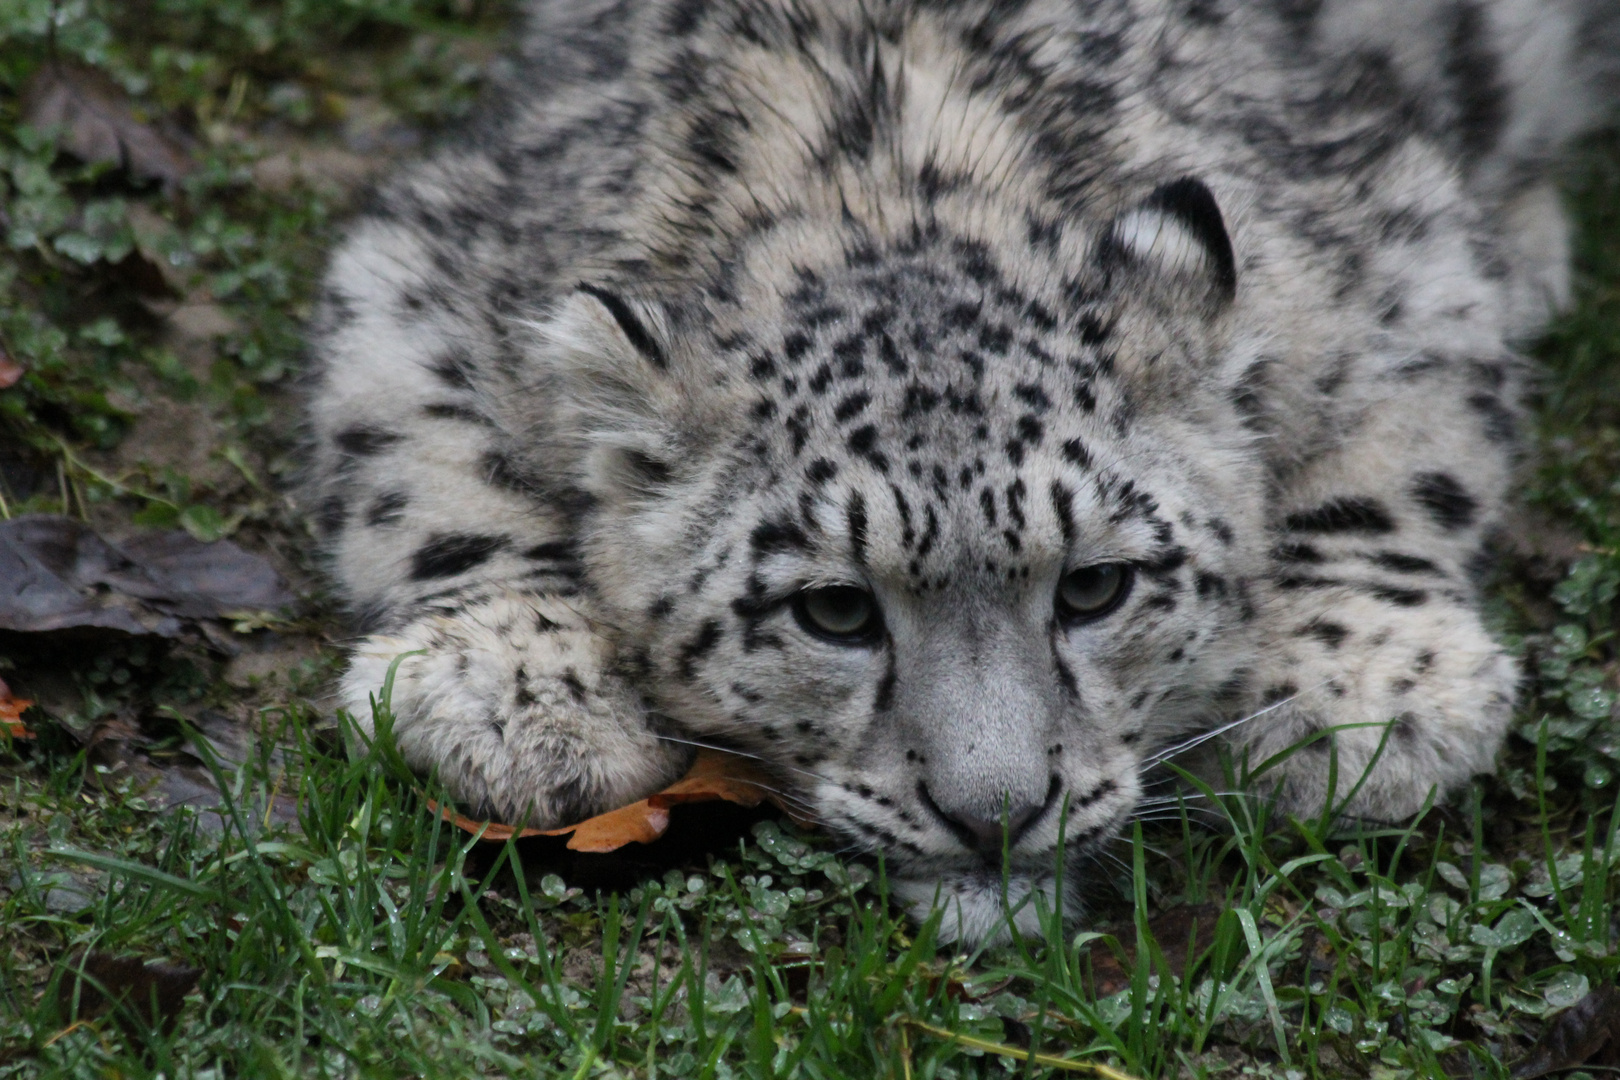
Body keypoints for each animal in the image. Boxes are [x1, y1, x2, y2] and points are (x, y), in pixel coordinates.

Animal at [306, 0, 1620, 945]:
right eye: (834, 610)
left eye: (1095, 586)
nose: (995, 816)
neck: (886, 173)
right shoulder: (419, 267)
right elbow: (419, 469)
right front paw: (519, 689)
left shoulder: (1397, 240)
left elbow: (1410, 449)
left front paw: (1365, 695)